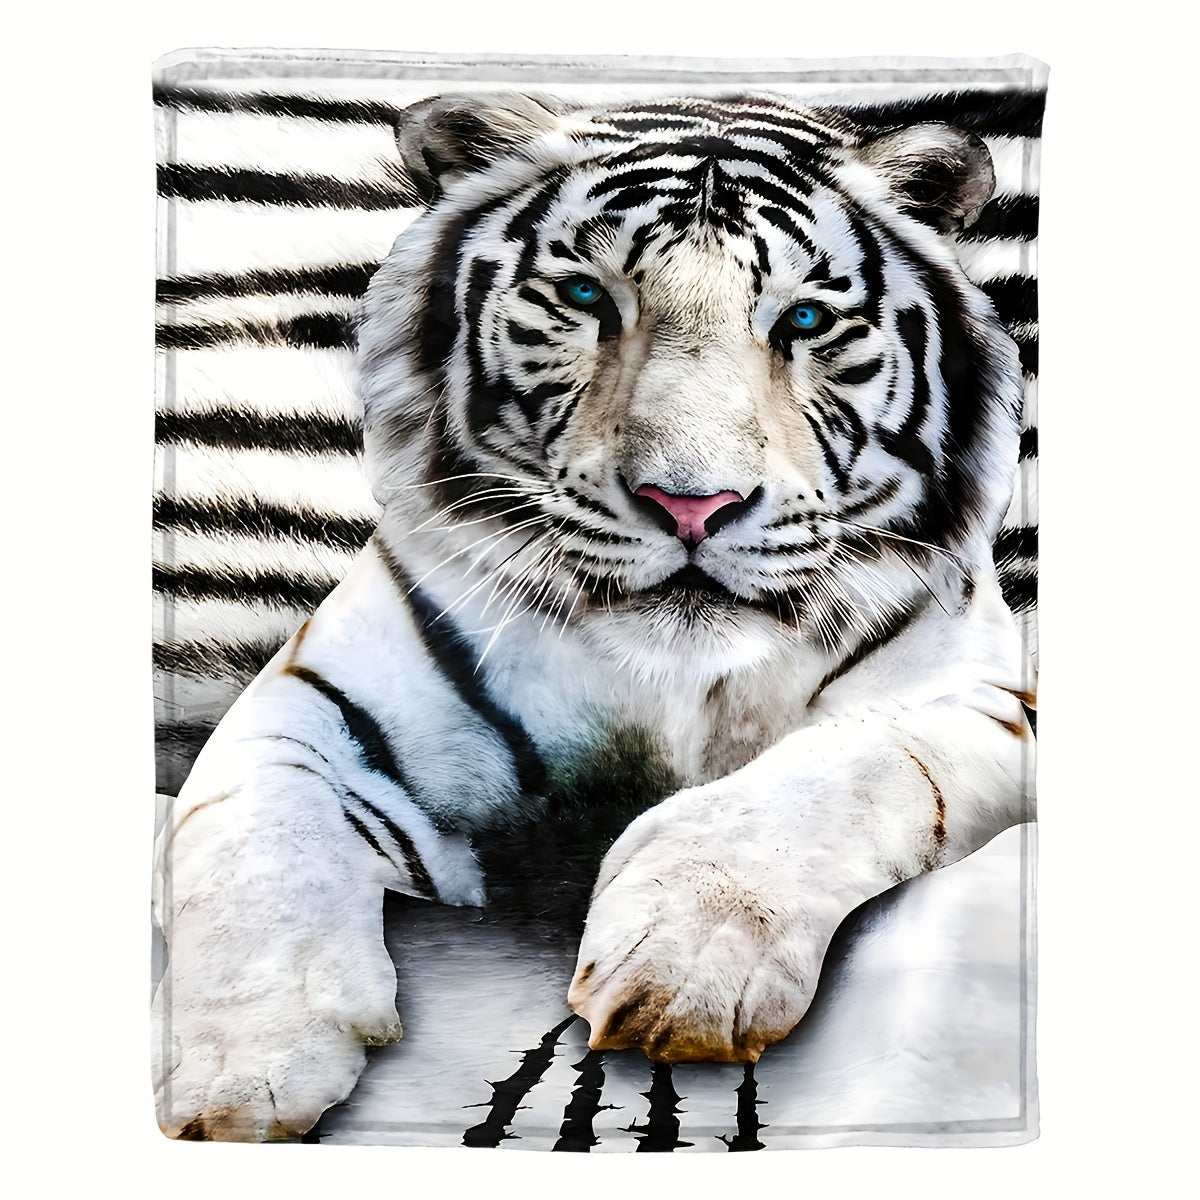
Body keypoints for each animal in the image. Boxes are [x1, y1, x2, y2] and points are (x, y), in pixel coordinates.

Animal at [153, 89, 1036, 1141]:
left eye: (805, 319)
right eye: (585, 298)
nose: (691, 505)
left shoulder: (984, 699)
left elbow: (845, 772)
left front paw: (686, 968)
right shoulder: (317, 700)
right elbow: (254, 842)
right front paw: (239, 1072)